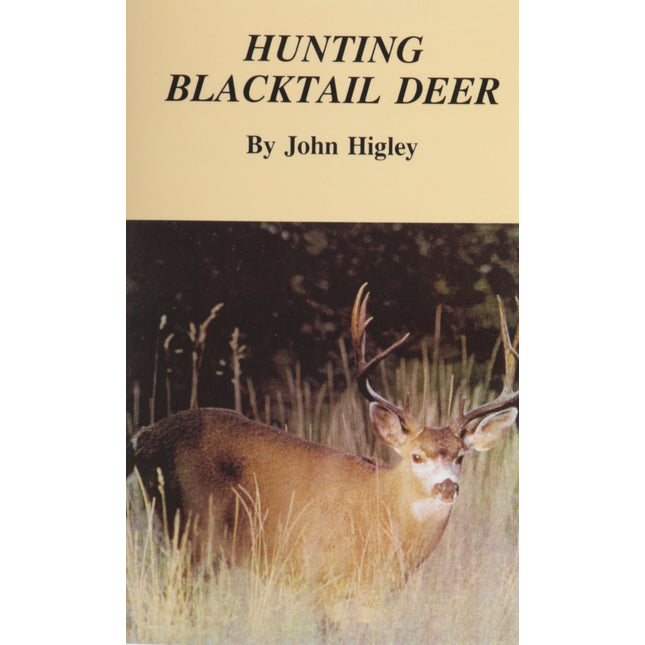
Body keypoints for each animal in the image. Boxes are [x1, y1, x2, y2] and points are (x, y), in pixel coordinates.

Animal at [129, 283, 518, 601]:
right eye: (417, 456)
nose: (447, 487)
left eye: (461, 456)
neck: (384, 511)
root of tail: (143, 438)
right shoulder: (324, 576)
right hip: (189, 529)